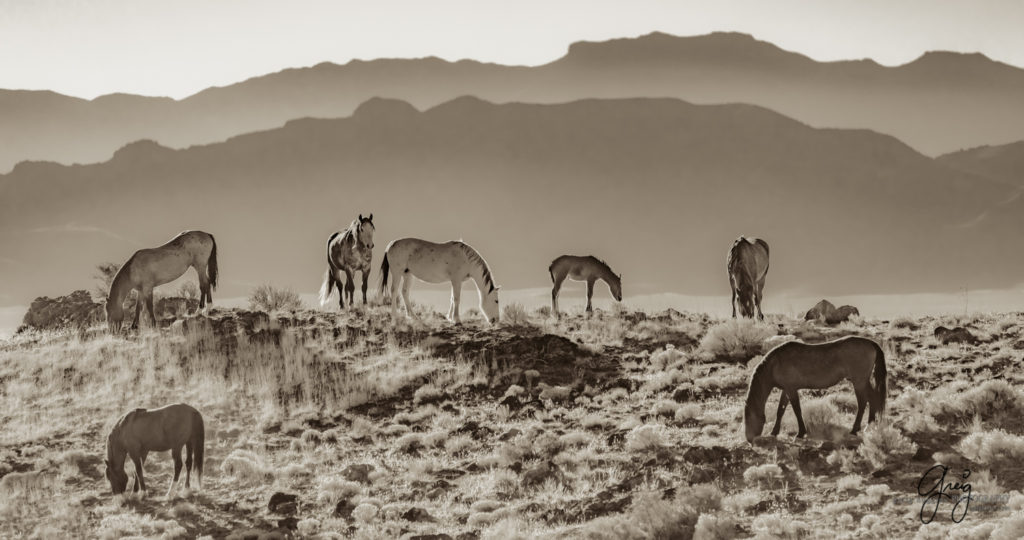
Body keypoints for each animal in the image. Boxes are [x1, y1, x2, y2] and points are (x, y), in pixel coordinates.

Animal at [745, 338, 888, 444]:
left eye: (748, 419)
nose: (749, 439)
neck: (775, 363)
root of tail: (871, 343)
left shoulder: (791, 390)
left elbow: (797, 410)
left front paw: (800, 433)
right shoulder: (786, 390)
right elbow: (780, 410)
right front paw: (774, 432)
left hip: (859, 382)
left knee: (864, 402)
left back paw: (856, 429)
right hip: (862, 382)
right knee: (872, 398)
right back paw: (869, 426)